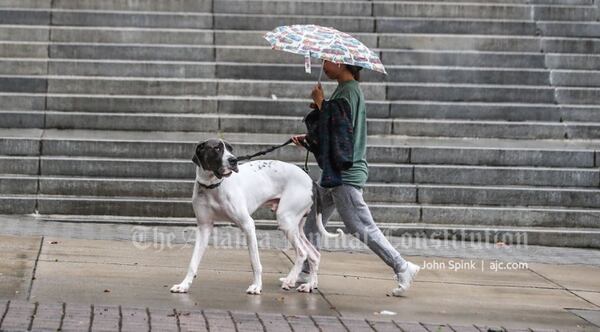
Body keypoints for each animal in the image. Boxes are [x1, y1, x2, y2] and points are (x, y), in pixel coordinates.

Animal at [170, 139, 342, 294]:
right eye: (217, 148)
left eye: (230, 149)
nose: (233, 160)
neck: (213, 186)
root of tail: (311, 181)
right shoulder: (204, 227)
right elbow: (193, 262)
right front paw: (184, 285)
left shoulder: (248, 225)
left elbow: (255, 262)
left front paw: (256, 286)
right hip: (296, 226)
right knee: (314, 254)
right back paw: (309, 285)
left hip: (286, 220)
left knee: (302, 253)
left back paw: (290, 280)